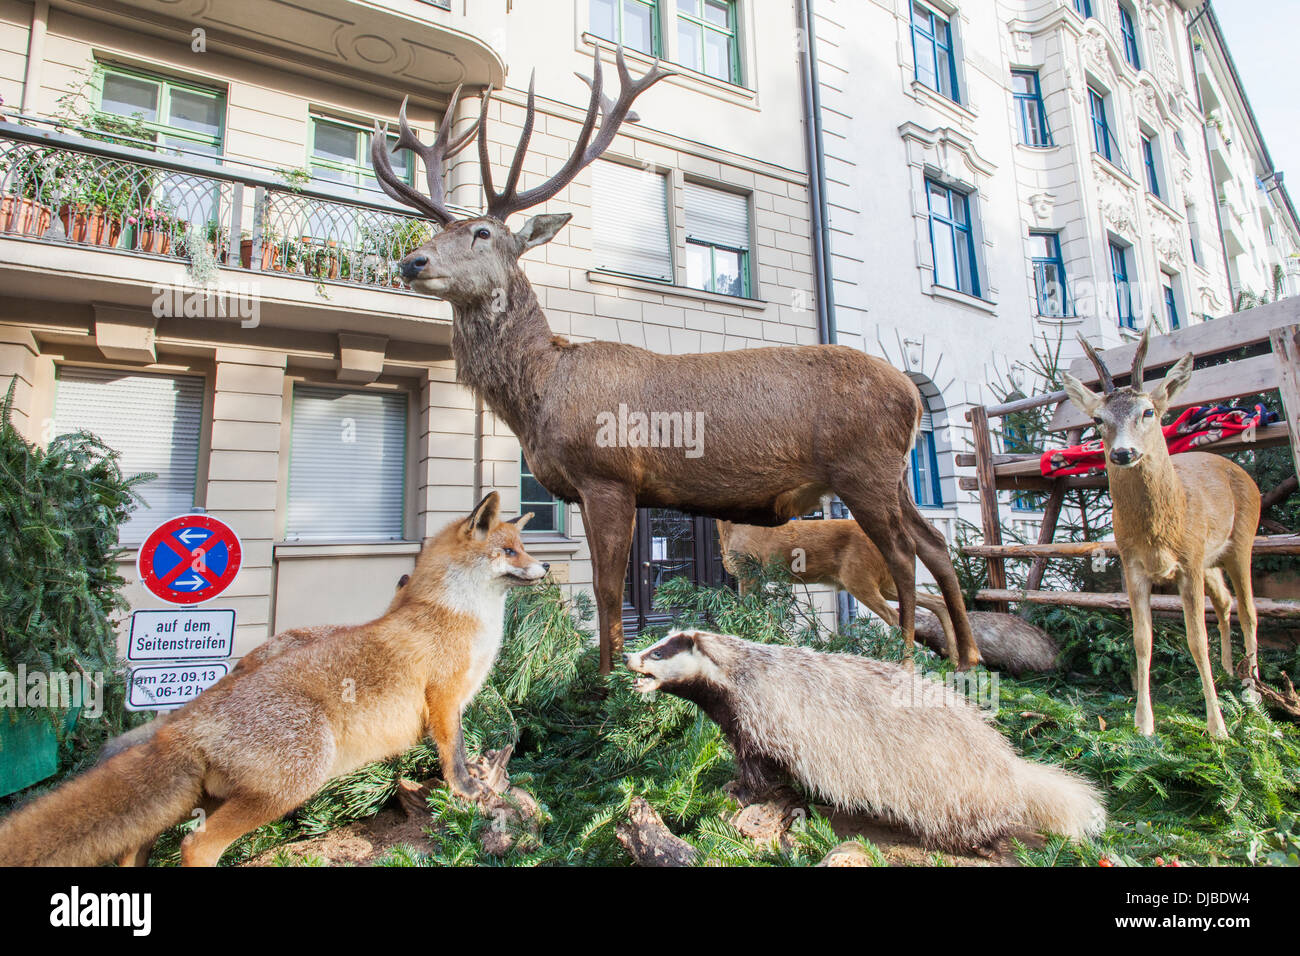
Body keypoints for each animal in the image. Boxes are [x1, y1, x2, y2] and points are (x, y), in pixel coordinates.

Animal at [0, 494, 546, 868]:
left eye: (523, 548)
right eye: (508, 551)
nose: (543, 567)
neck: (456, 615)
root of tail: (186, 719)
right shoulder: (443, 698)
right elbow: (453, 753)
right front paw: (467, 788)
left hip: (205, 798)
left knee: (139, 846)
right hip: (296, 776)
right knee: (196, 846)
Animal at [366, 44, 977, 671]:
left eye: (483, 233)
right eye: (442, 228)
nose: (412, 261)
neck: (542, 393)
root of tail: (910, 394)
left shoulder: (608, 474)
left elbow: (607, 591)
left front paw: (610, 678)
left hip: (863, 467)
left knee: (902, 553)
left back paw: (909, 659)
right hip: (893, 474)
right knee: (935, 544)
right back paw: (968, 657)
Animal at [1066, 329, 1258, 738]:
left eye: (1148, 412)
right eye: (1097, 418)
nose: (1123, 453)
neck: (1160, 533)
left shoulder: (1188, 564)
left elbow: (1196, 640)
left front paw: (1217, 727)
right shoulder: (1133, 566)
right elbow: (1142, 640)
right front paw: (1143, 723)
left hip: (1242, 540)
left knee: (1249, 609)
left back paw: (1252, 688)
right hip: (1211, 560)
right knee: (1225, 601)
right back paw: (1230, 670)